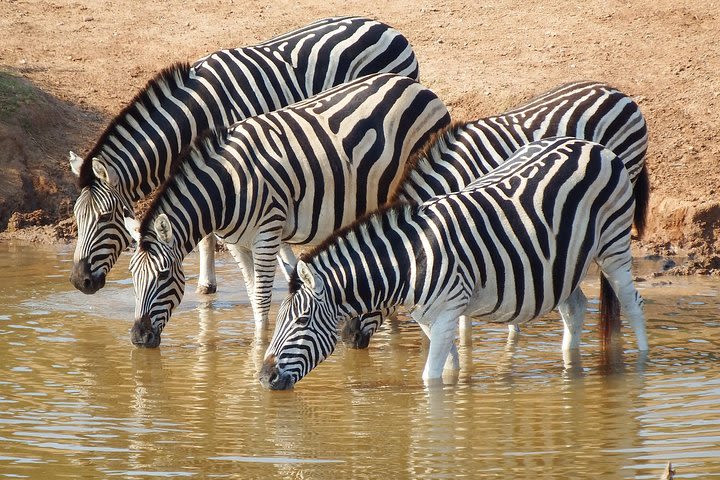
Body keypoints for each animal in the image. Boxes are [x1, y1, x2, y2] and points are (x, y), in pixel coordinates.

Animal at [122, 73, 450, 346]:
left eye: (164, 275)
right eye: (133, 275)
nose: (138, 337)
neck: (226, 188)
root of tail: (417, 86)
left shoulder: (267, 234)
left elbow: (262, 298)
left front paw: (259, 348)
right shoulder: (237, 243)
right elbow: (253, 294)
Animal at [258, 136, 648, 390]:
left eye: (302, 320)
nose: (264, 378)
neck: (409, 260)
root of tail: (593, 146)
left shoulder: (447, 312)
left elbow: (430, 378)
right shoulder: (429, 319)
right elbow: (448, 369)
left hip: (613, 244)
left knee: (632, 304)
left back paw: (642, 363)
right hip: (563, 264)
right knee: (575, 308)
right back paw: (570, 365)